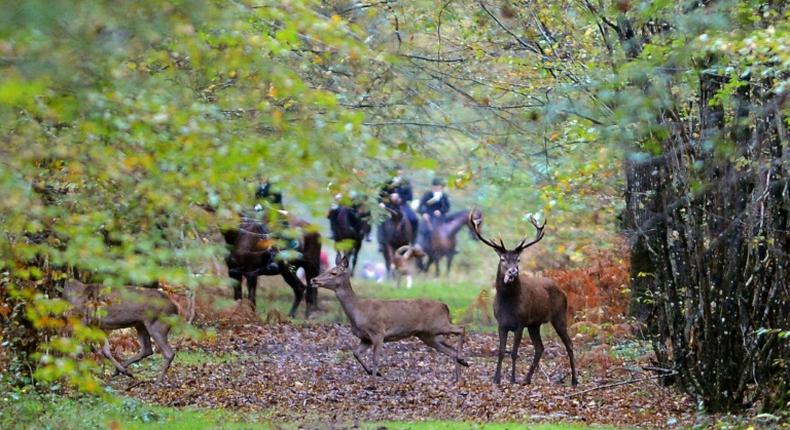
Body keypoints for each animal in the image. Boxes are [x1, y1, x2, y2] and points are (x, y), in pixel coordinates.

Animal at [310, 254, 470, 382]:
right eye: (326, 270)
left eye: (333, 272)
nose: (313, 280)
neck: (358, 311)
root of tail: (445, 306)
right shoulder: (365, 338)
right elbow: (355, 353)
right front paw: (374, 373)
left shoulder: (378, 332)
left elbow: (375, 359)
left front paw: (373, 382)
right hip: (427, 335)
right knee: (451, 350)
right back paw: (459, 376)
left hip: (438, 324)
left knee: (461, 328)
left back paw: (463, 361)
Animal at [474, 212, 580, 386]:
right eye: (502, 259)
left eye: (518, 259)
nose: (513, 272)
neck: (508, 304)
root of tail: (562, 291)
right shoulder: (501, 324)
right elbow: (501, 352)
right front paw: (496, 379)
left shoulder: (520, 323)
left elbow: (514, 352)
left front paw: (512, 379)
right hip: (534, 324)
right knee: (540, 348)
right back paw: (527, 379)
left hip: (559, 316)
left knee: (569, 344)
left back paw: (574, 380)